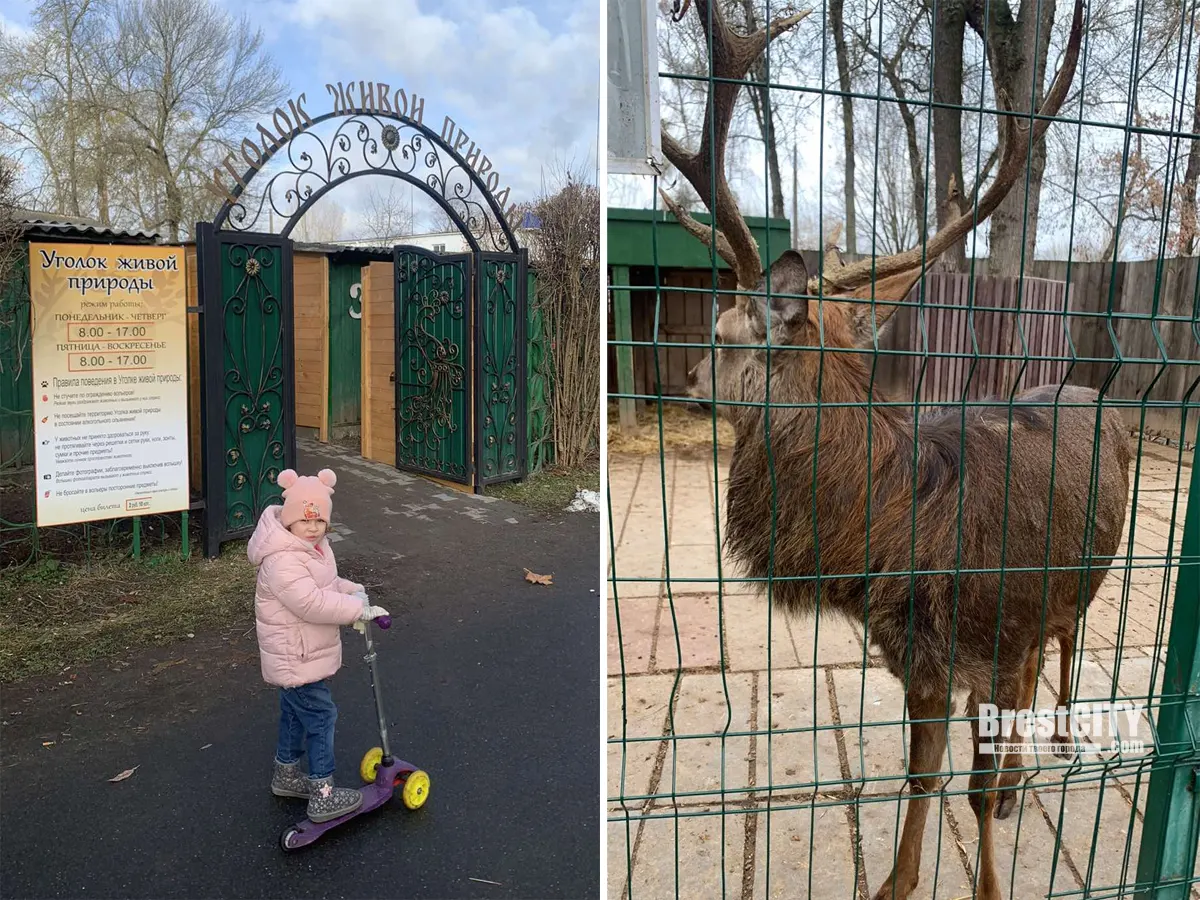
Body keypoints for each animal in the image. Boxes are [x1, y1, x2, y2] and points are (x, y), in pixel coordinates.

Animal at [662, 1, 1128, 900]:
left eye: (723, 335)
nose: (689, 376)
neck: (896, 535)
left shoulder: (989, 637)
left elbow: (966, 785)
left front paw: (987, 882)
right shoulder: (922, 660)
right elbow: (923, 774)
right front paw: (896, 881)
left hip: (1084, 581)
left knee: (1064, 645)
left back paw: (1053, 746)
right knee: (1034, 671)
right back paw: (1019, 779)